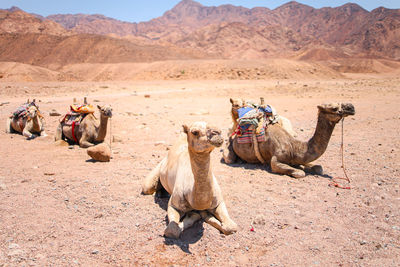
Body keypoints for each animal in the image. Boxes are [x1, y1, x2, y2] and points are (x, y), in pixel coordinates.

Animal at [222, 103, 356, 179]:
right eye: (335, 108)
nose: (351, 108)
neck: (294, 147)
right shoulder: (276, 160)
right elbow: (299, 173)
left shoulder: (300, 158)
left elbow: (318, 168)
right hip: (229, 147)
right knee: (229, 157)